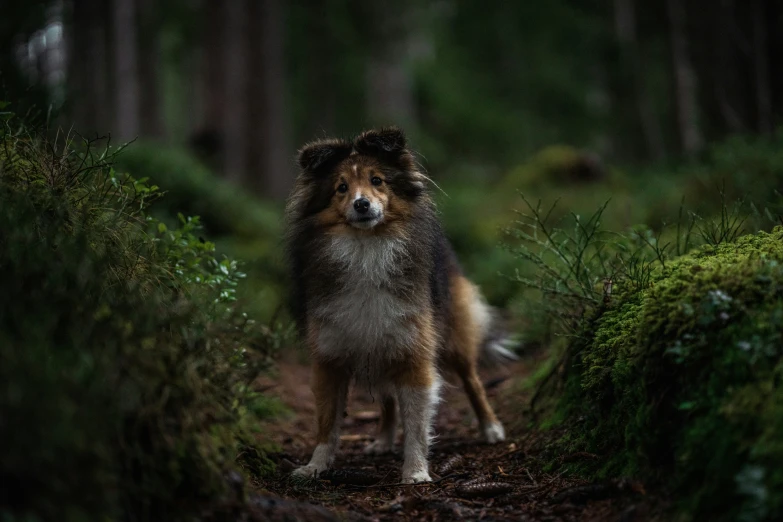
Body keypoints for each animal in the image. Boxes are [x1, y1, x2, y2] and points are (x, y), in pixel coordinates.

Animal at [284, 127, 516, 484]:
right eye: (341, 187)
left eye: (377, 180)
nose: (362, 204)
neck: (365, 250)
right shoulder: (330, 357)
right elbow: (326, 422)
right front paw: (315, 466)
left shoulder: (414, 352)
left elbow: (418, 424)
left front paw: (416, 471)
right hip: (380, 347)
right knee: (388, 399)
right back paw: (382, 439)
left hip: (452, 338)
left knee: (473, 381)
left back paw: (490, 428)